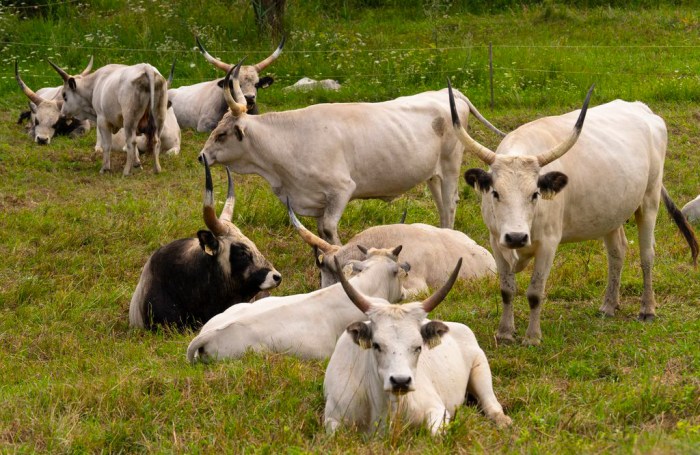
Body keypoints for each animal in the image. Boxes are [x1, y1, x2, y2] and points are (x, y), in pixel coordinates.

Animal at [326, 258, 512, 436]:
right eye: (377, 345)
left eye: (418, 347)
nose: (400, 381)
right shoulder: (331, 417)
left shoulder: (437, 409)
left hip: (481, 369)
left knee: (491, 404)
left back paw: (503, 421)